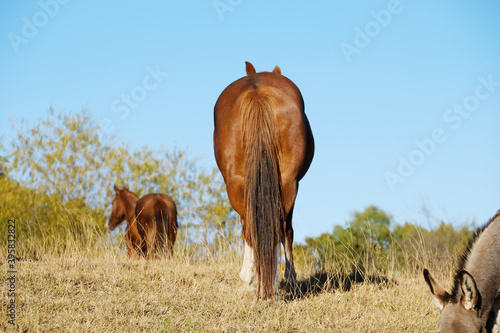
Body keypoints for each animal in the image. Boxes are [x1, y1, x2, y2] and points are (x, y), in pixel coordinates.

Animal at [213, 62, 314, 298]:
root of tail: (257, 92)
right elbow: (288, 231)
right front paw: (290, 277)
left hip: (237, 185)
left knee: (249, 227)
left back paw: (249, 279)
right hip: (287, 183)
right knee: (279, 227)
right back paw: (273, 283)